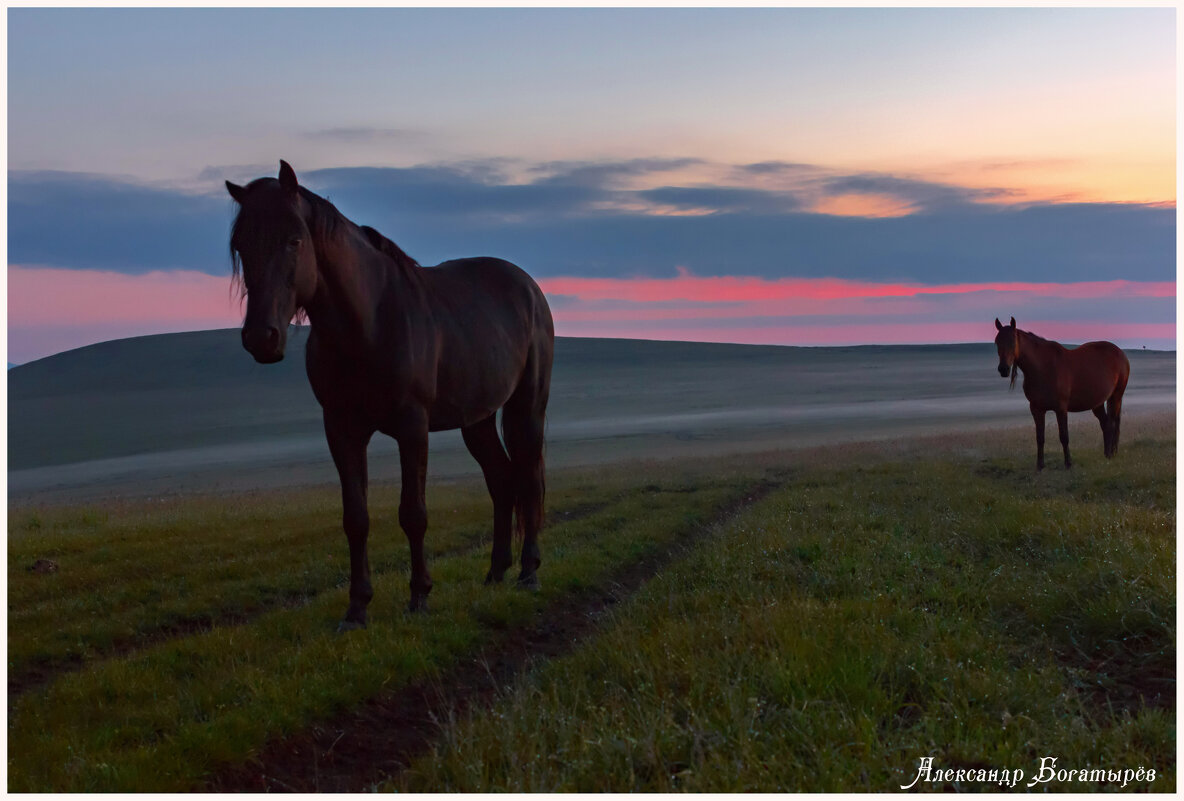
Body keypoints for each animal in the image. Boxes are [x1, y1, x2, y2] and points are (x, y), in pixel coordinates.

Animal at [227, 160, 554, 624]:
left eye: (294, 240)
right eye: (240, 246)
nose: (261, 337)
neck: (368, 323)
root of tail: (527, 286)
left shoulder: (411, 427)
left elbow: (412, 513)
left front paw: (419, 596)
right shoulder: (341, 429)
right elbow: (356, 517)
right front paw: (356, 608)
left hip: (526, 407)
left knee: (528, 479)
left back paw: (528, 573)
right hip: (477, 420)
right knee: (502, 481)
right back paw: (495, 573)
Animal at [989, 317, 1127, 470]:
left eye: (1013, 341)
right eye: (997, 342)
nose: (1003, 369)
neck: (1043, 368)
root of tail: (1120, 353)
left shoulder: (1061, 409)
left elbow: (1064, 436)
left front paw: (1068, 464)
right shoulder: (1036, 409)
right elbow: (1040, 438)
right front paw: (1040, 466)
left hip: (1116, 396)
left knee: (1112, 424)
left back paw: (1110, 455)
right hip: (1097, 402)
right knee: (1105, 424)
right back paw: (1107, 453)